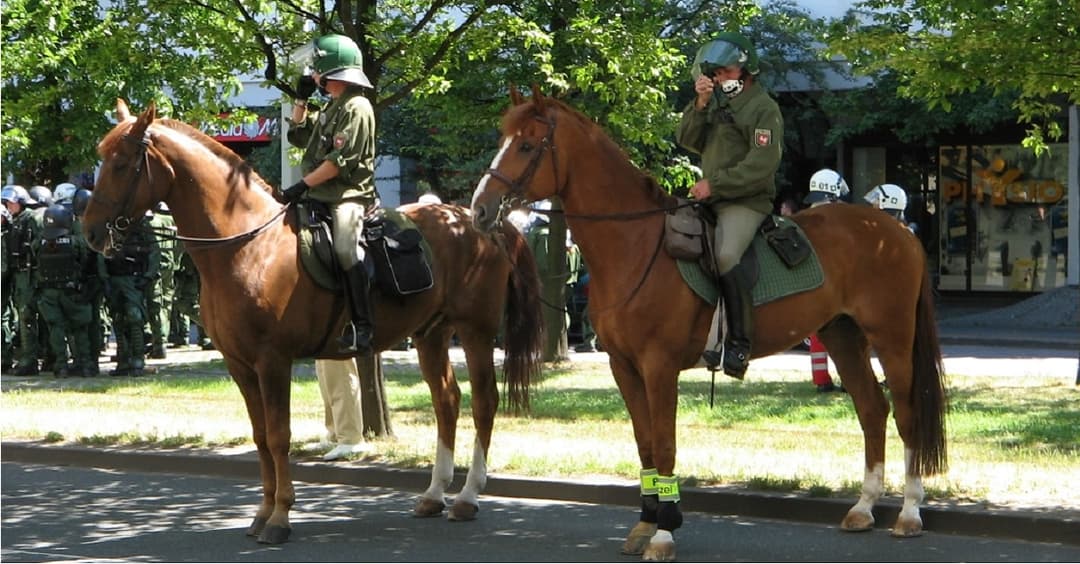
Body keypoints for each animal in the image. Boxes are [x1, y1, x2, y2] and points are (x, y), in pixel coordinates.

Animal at [79, 98, 544, 542]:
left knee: (484, 401)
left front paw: (280, 517)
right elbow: (261, 437)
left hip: (475, 331)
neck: (246, 244)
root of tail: (479, 220)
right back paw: (434, 494)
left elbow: (279, 436)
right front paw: (262, 512)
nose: (92, 233)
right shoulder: (239, 365)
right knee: (447, 401)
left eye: (121, 162)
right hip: (431, 334)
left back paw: (468, 496)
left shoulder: (272, 361)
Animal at [473, 86, 946, 557]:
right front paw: (645, 522)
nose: (480, 209)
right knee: (872, 410)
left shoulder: (659, 367)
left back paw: (909, 512)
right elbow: (644, 442)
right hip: (843, 337)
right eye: (502, 139)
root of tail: (894, 231)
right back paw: (864, 507)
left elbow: (664, 444)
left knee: (907, 415)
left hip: (892, 340)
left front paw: (664, 531)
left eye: (527, 145)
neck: (635, 245)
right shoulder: (623, 367)